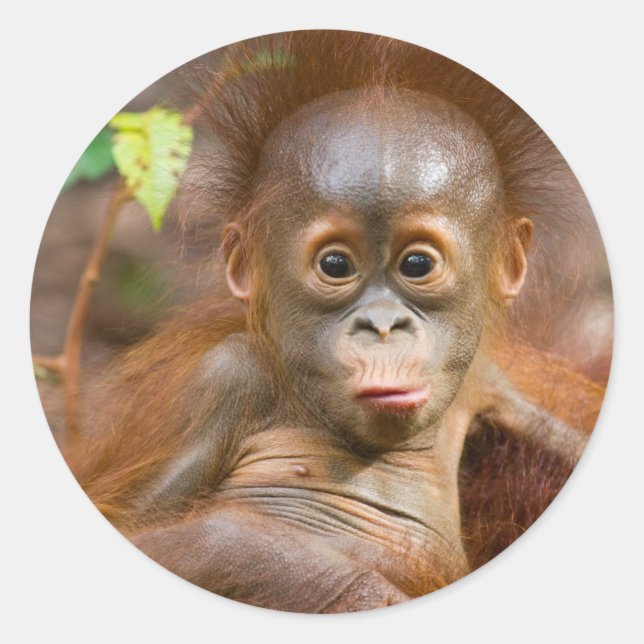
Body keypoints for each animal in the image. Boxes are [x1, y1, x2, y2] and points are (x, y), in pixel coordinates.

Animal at [61, 31, 610, 613]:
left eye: (418, 264)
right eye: (336, 265)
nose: (383, 325)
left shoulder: (486, 379)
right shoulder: (225, 377)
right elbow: (144, 525)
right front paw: (346, 588)